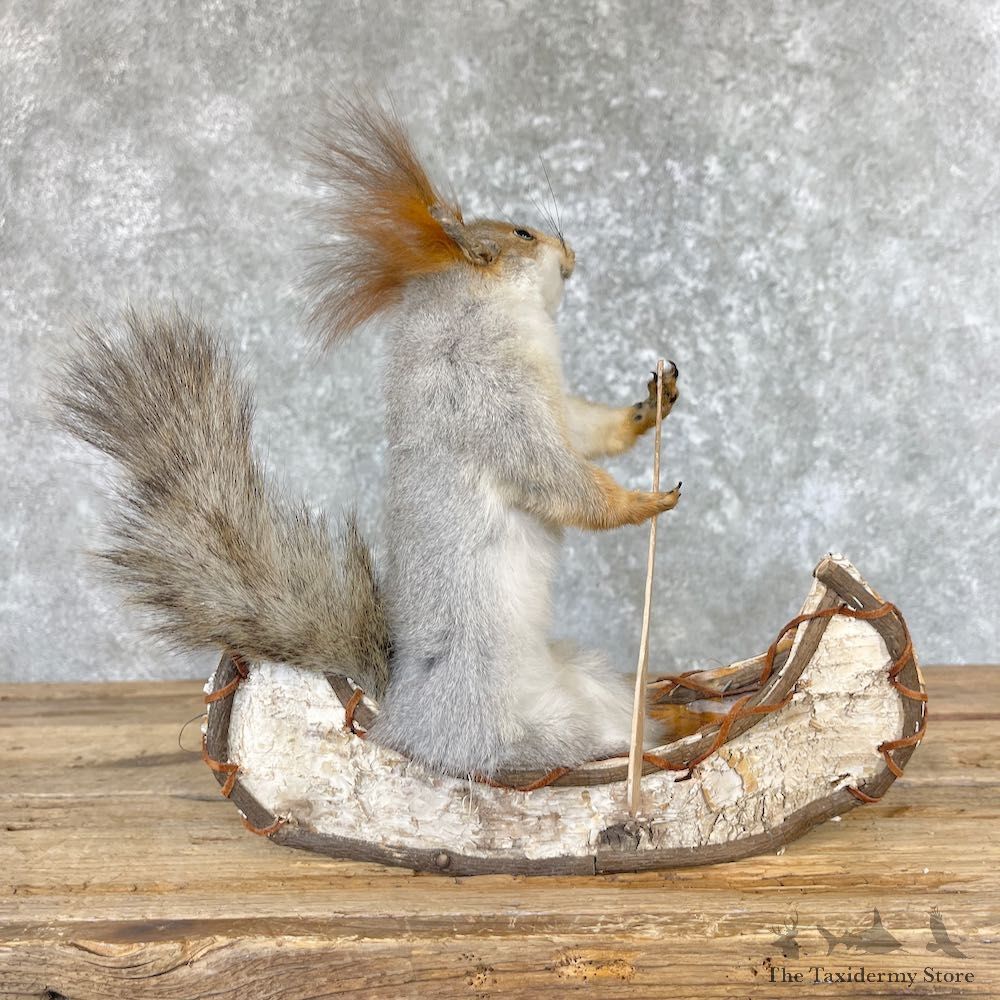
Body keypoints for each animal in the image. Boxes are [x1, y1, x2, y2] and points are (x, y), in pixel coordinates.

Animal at [55, 99, 682, 777]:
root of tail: (402, 719)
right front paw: (641, 503)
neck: (485, 309)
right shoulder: (488, 398)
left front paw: (649, 407)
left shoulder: (552, 403)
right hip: (519, 726)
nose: (570, 249)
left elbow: (584, 430)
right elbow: (552, 473)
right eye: (521, 233)